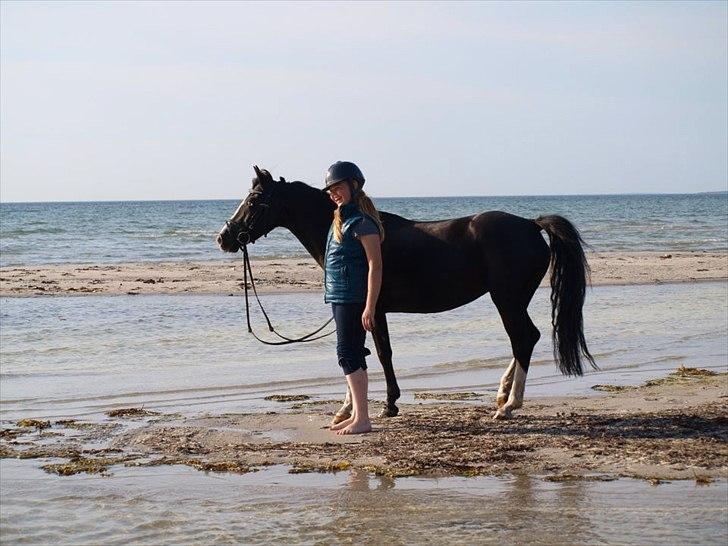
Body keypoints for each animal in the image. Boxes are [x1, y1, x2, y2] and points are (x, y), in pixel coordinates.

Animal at [216, 166, 595, 421]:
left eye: (254, 200)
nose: (224, 238)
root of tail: (531, 225)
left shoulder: (371, 309)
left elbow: (379, 354)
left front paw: (387, 404)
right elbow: (362, 352)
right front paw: (350, 408)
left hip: (507, 299)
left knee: (523, 338)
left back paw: (509, 405)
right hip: (513, 300)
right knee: (526, 339)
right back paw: (502, 394)